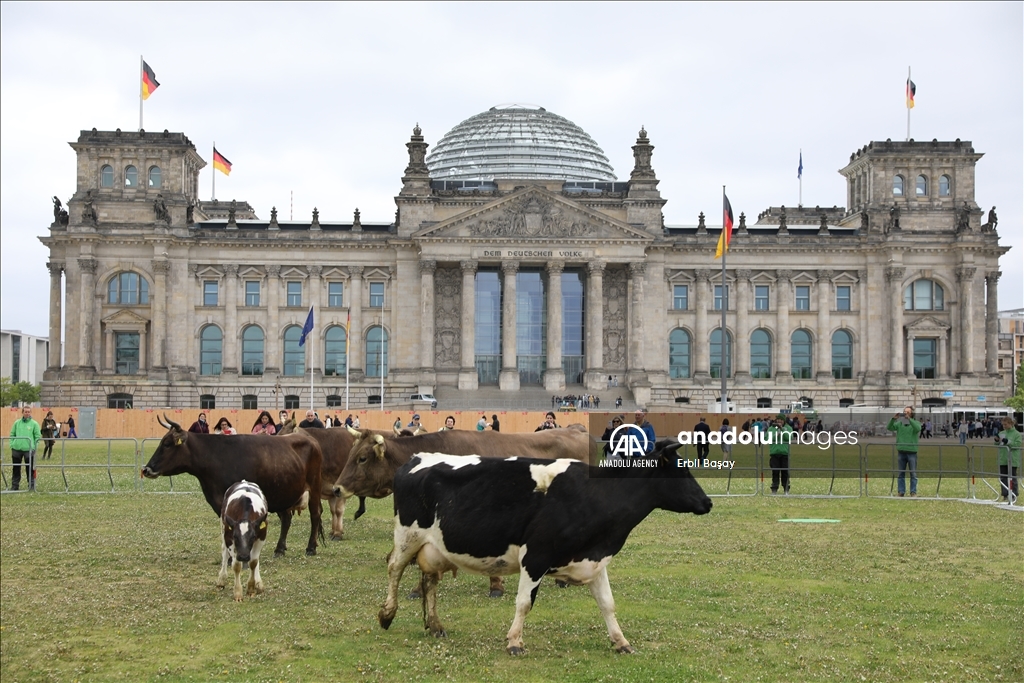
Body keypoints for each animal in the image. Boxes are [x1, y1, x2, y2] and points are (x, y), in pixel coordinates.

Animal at [378, 440, 712, 655]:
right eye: (682, 470)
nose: (708, 502)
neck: (596, 495)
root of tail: (417, 457)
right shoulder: (535, 556)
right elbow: (524, 603)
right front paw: (514, 642)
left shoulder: (594, 559)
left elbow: (608, 604)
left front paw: (621, 642)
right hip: (408, 536)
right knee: (394, 568)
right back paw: (387, 614)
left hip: (433, 547)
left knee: (430, 581)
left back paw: (435, 625)